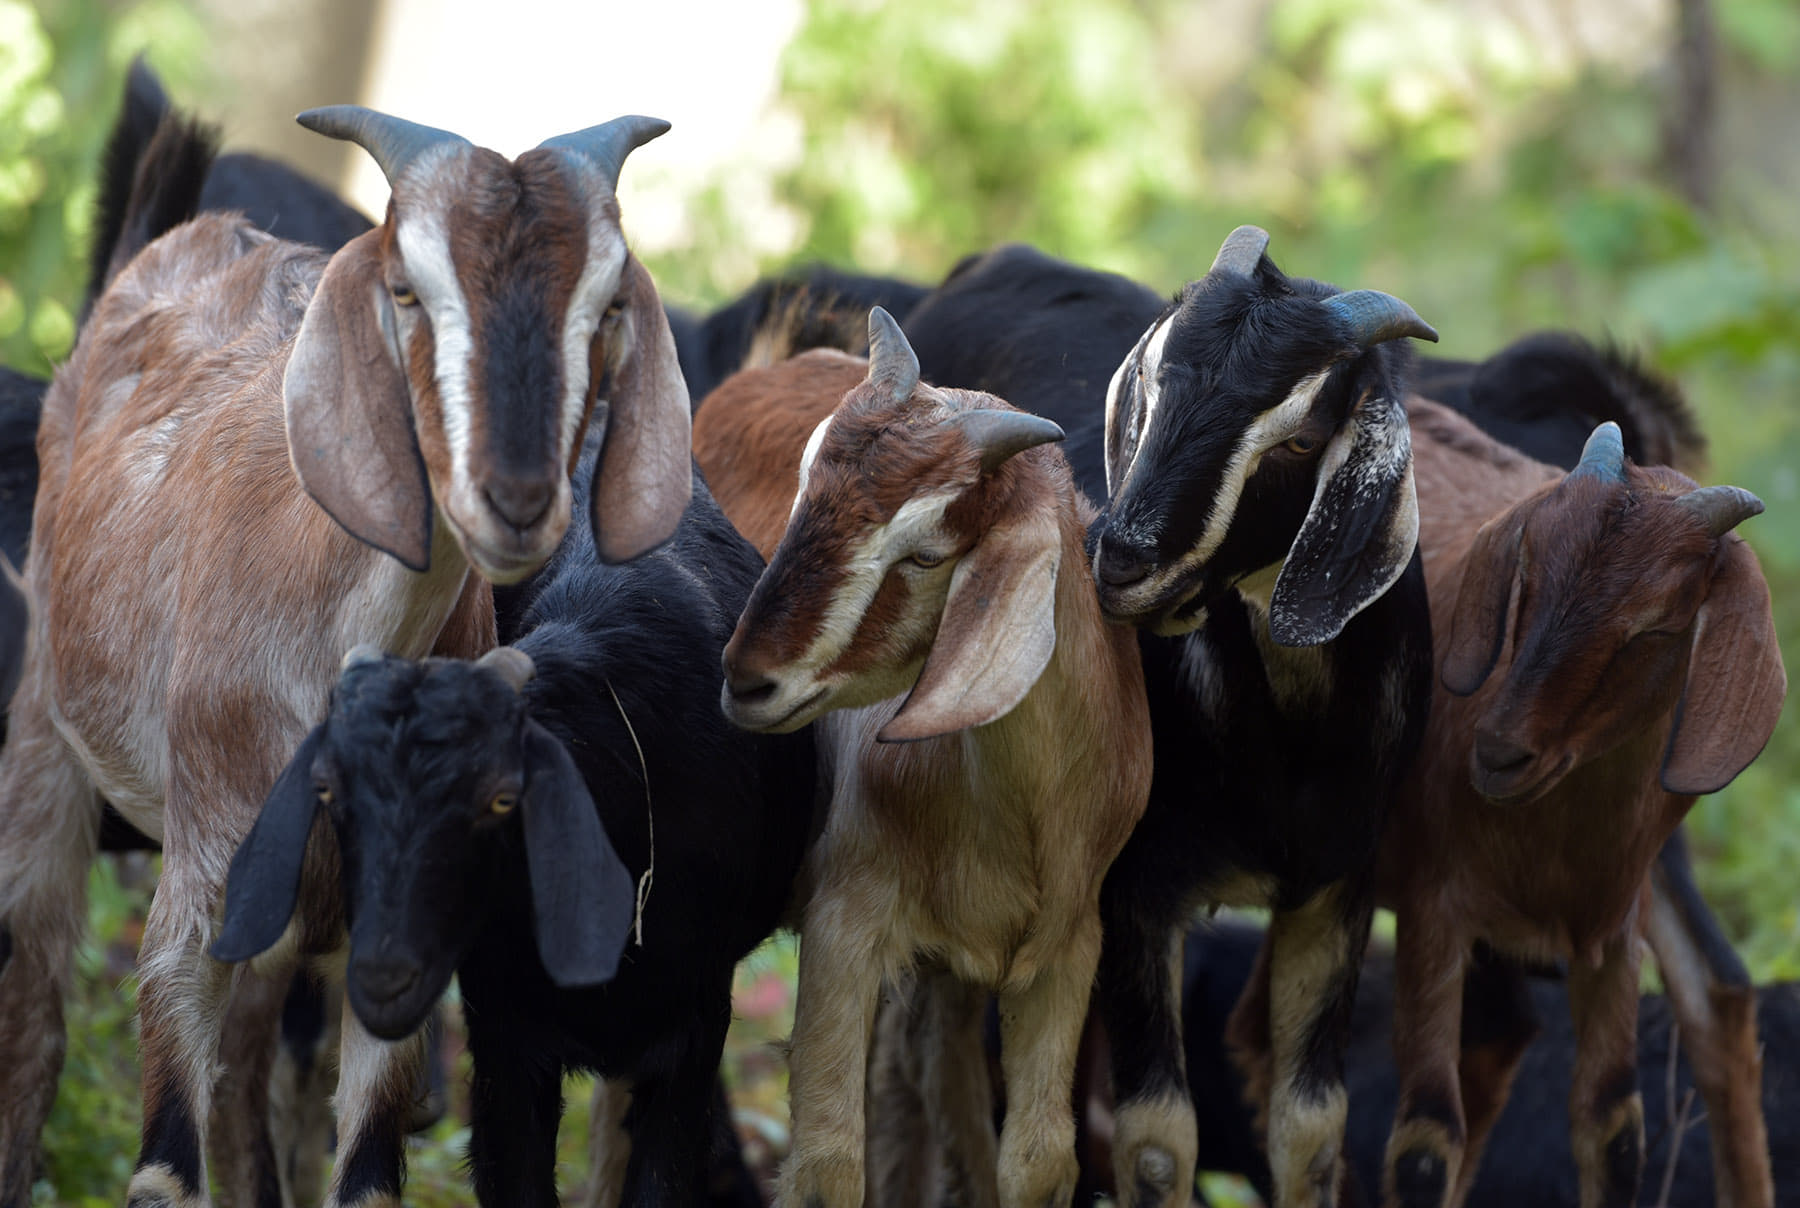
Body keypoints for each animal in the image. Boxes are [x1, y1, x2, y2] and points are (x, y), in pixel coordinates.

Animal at [694, 318, 1144, 1208]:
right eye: (803, 493)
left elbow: (1040, 1158)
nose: (748, 679)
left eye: (928, 553)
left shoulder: (1068, 946)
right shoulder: (844, 922)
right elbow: (829, 1164)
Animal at [1375, 403, 1785, 1208]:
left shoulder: (1613, 936)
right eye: (1526, 572)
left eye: (1657, 625)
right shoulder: (1432, 910)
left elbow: (1614, 1130)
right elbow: (1425, 1145)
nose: (1500, 751)